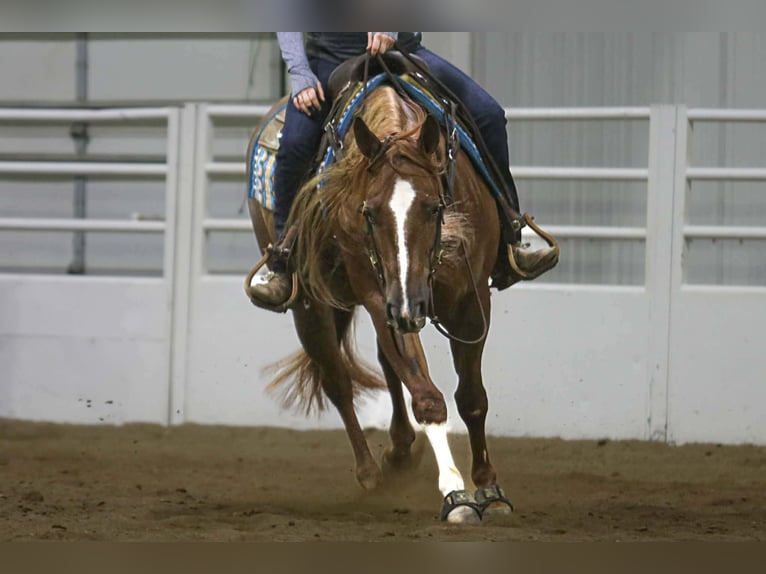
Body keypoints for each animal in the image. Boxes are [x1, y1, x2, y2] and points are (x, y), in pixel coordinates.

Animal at [245, 80, 514, 523]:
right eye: (368, 212)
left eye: (434, 207)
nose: (408, 303)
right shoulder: (383, 299)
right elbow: (428, 398)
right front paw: (455, 494)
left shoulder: (469, 304)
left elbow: (472, 399)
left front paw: (489, 487)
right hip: (312, 306)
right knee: (336, 379)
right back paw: (371, 471)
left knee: (386, 366)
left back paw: (401, 451)